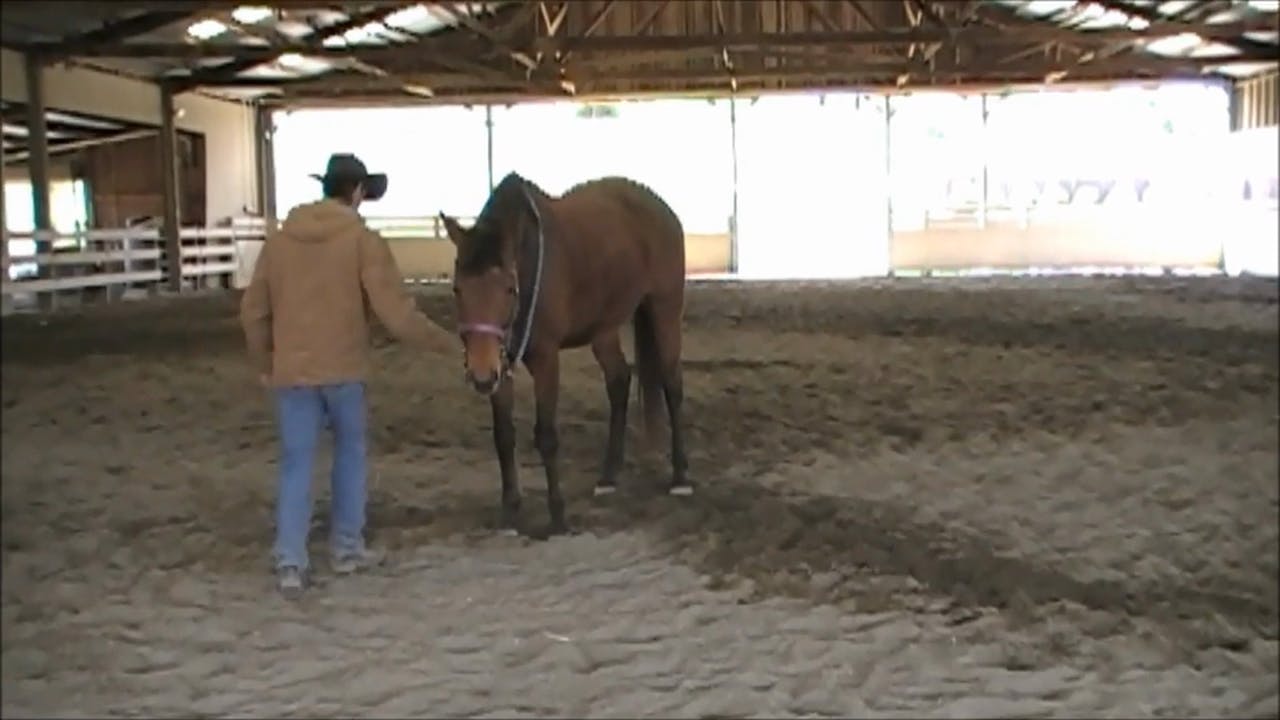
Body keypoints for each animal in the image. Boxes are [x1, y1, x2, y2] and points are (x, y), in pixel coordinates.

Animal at [437, 171, 690, 536]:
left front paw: (557, 514)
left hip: (664, 308)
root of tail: (662, 209)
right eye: (458, 289)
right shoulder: (501, 365)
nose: (481, 376)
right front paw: (510, 513)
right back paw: (608, 476)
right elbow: (504, 437)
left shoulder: (545, 359)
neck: (529, 266)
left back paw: (680, 476)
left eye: (508, 288)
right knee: (619, 381)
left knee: (672, 384)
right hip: (603, 327)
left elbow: (546, 436)